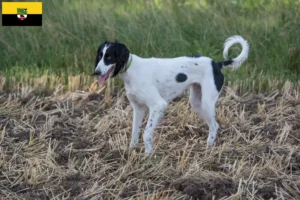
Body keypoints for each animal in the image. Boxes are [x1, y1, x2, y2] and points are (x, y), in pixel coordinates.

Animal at [93, 35, 248, 153]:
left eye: (109, 57)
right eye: (100, 56)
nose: (96, 72)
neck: (131, 71)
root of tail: (216, 64)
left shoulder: (158, 105)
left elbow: (146, 132)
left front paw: (148, 155)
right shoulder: (138, 108)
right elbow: (135, 131)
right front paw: (131, 151)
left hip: (207, 103)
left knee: (215, 125)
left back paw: (208, 150)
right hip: (196, 102)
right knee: (213, 124)